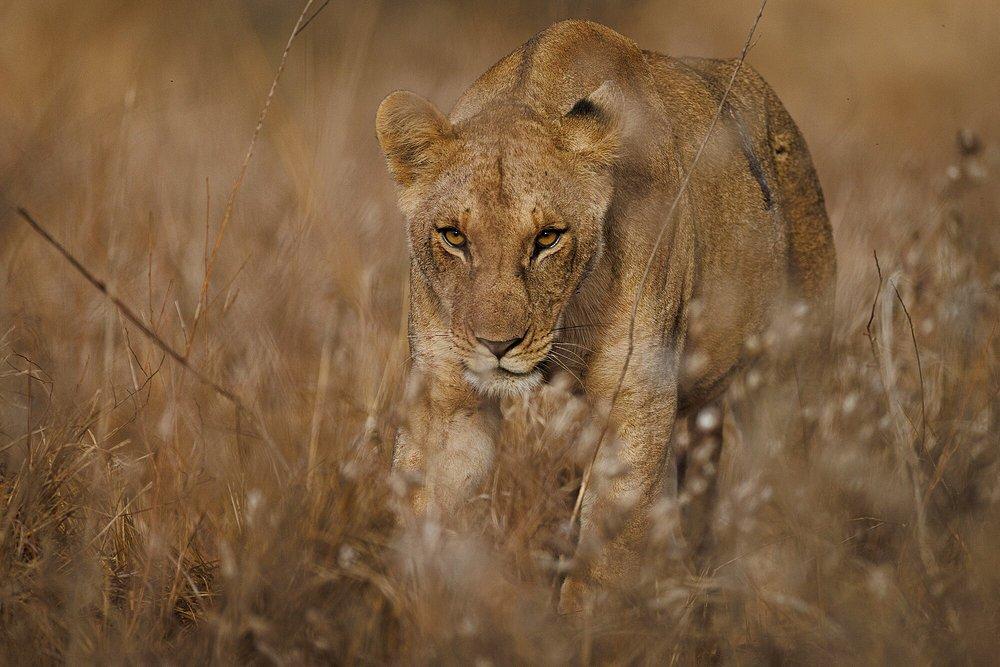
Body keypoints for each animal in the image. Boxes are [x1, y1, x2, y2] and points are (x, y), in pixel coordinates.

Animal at [375, 19, 835, 612]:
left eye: (547, 238)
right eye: (454, 236)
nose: (496, 345)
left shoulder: (636, 399)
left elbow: (603, 561)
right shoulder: (446, 397)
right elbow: (426, 517)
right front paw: (419, 613)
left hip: (789, 379)